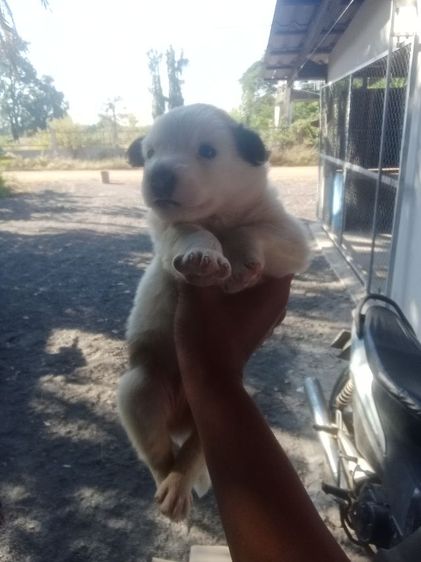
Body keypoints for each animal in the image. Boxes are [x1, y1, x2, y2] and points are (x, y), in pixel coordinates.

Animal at [118, 104, 310, 521]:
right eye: (151, 153)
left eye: (207, 151)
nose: (158, 175)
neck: (219, 217)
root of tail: (179, 417)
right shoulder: (168, 232)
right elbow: (190, 231)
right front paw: (204, 256)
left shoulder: (290, 236)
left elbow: (254, 231)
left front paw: (240, 261)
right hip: (139, 387)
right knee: (159, 455)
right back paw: (170, 489)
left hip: (208, 420)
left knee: (193, 452)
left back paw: (181, 484)